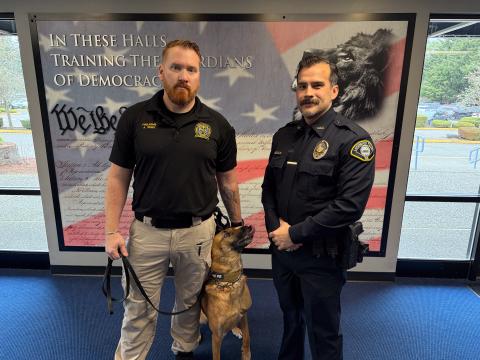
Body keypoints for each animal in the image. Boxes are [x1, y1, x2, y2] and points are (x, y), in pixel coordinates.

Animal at [202, 226, 256, 358]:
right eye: (226, 234)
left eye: (236, 227)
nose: (248, 226)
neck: (230, 283)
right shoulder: (216, 336)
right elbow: (216, 356)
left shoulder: (244, 315)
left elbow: (247, 338)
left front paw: (246, 355)